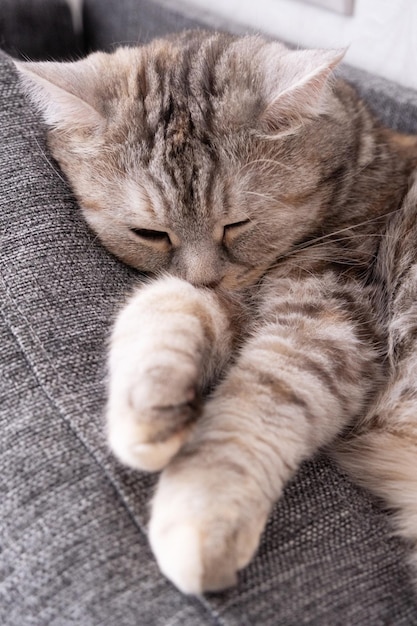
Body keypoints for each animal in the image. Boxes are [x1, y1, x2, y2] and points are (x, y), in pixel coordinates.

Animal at [16, 30, 417, 588]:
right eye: (150, 233)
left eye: (238, 224)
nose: (206, 276)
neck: (361, 169)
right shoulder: (234, 299)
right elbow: (167, 301)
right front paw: (151, 399)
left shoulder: (329, 321)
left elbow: (261, 400)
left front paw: (200, 513)